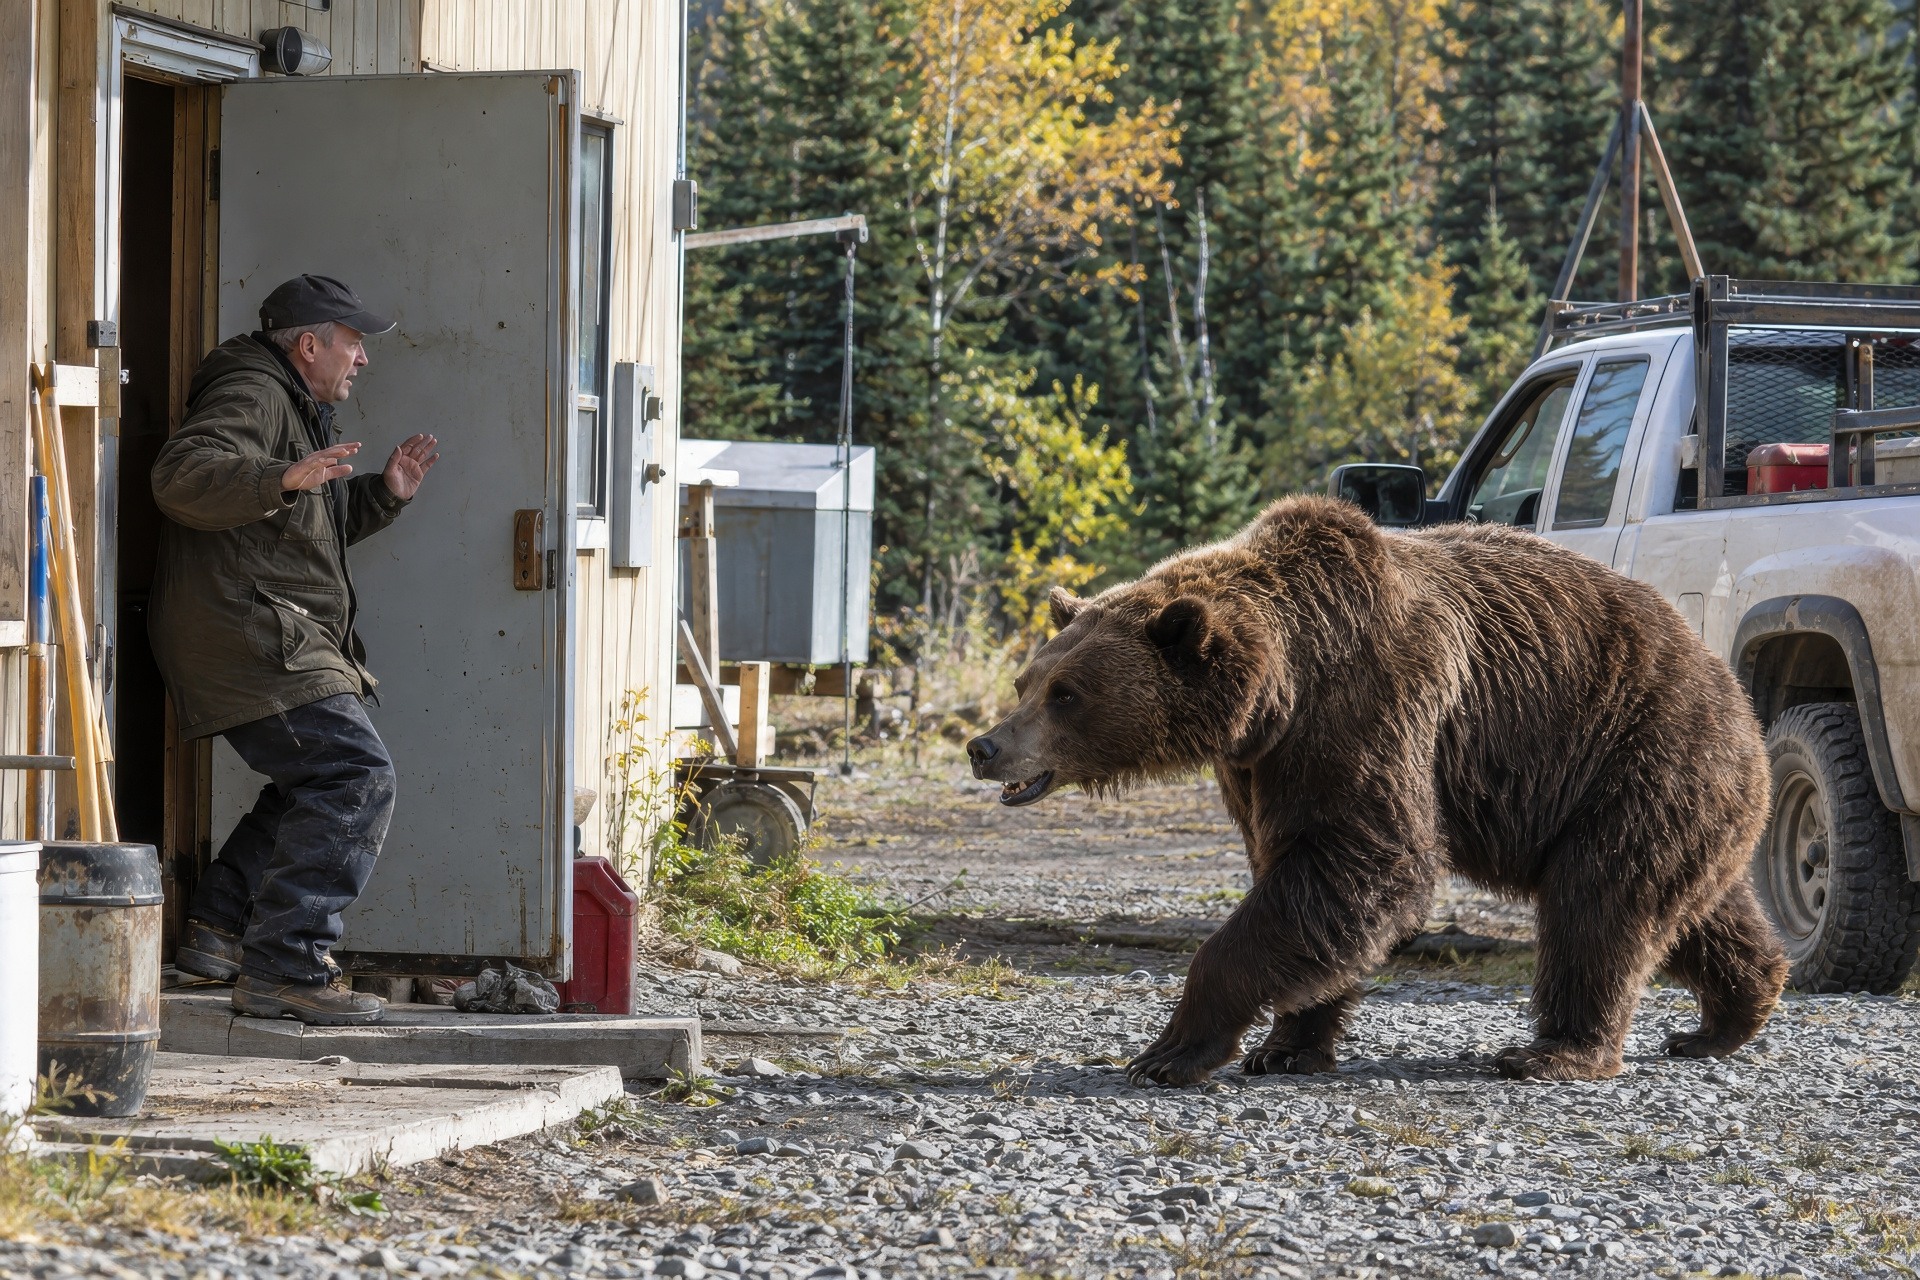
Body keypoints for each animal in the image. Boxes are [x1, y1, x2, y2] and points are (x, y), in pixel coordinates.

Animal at [966, 495, 1786, 1085]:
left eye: (1067, 694)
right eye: (1027, 680)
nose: (985, 746)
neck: (1275, 692)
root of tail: (1732, 691)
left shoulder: (1364, 708)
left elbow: (1363, 862)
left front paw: (1168, 1053)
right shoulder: (1259, 766)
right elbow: (1301, 886)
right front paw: (1287, 1044)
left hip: (1635, 752)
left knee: (1598, 900)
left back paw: (1551, 1051)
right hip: (1667, 792)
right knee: (1689, 905)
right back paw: (1727, 1015)